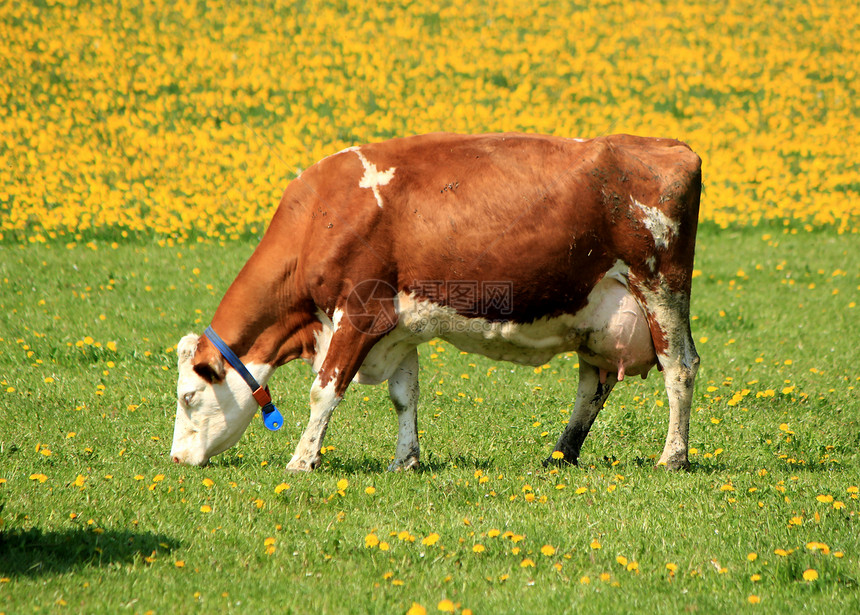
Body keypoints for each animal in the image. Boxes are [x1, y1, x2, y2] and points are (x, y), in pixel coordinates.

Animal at [168, 132, 700, 472]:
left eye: (187, 396)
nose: (175, 459)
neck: (322, 214)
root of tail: (671, 146)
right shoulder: (398, 328)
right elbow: (405, 396)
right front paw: (405, 461)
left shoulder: (359, 313)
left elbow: (324, 391)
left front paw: (301, 460)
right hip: (599, 315)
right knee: (593, 385)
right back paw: (560, 455)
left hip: (660, 289)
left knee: (680, 367)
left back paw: (672, 457)